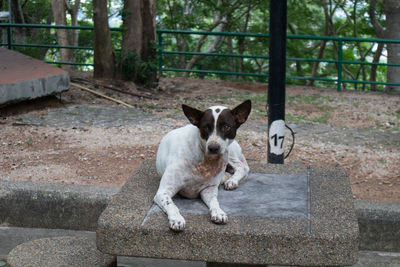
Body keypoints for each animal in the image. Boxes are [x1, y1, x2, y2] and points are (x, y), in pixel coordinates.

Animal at [153, 99, 250, 231]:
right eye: (206, 127)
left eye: (226, 127)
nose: (213, 148)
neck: (204, 160)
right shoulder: (163, 192)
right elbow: (172, 205)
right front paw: (177, 219)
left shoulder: (208, 190)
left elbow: (215, 202)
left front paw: (218, 212)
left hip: (228, 152)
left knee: (242, 167)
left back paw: (232, 181)